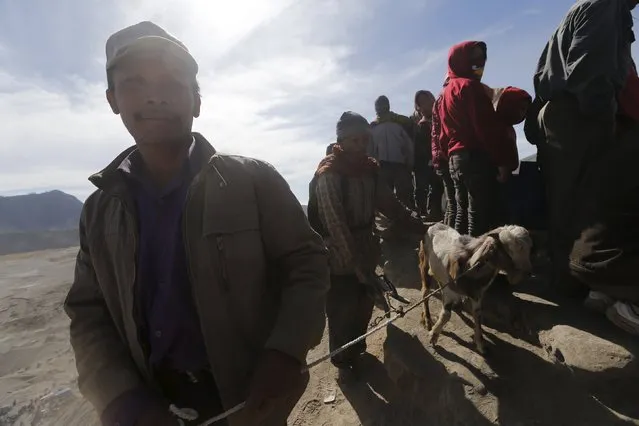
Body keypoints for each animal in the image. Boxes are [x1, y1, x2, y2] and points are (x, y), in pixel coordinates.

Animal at [420, 221, 536, 354]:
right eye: (508, 248)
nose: (527, 273)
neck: (470, 267)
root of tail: (435, 224)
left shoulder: (477, 295)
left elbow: (478, 315)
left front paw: (481, 344)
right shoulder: (450, 290)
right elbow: (446, 315)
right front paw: (433, 336)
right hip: (424, 262)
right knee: (425, 291)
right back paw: (427, 320)